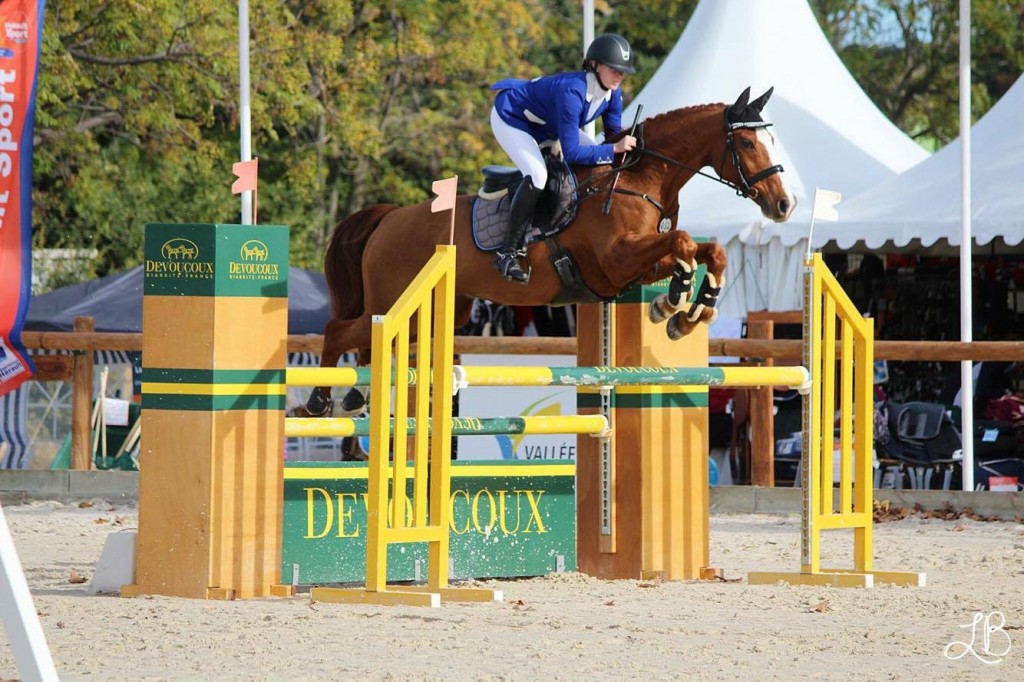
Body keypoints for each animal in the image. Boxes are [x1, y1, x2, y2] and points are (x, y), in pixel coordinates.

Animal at [299, 84, 794, 413]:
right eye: (746, 141)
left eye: (772, 139)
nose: (783, 205)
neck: (641, 176)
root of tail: (388, 218)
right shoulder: (617, 259)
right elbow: (684, 242)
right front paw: (673, 305)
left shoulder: (633, 267)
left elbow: (708, 252)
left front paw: (689, 313)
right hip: (393, 301)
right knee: (339, 332)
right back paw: (321, 399)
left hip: (442, 311)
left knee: (367, 342)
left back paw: (356, 394)